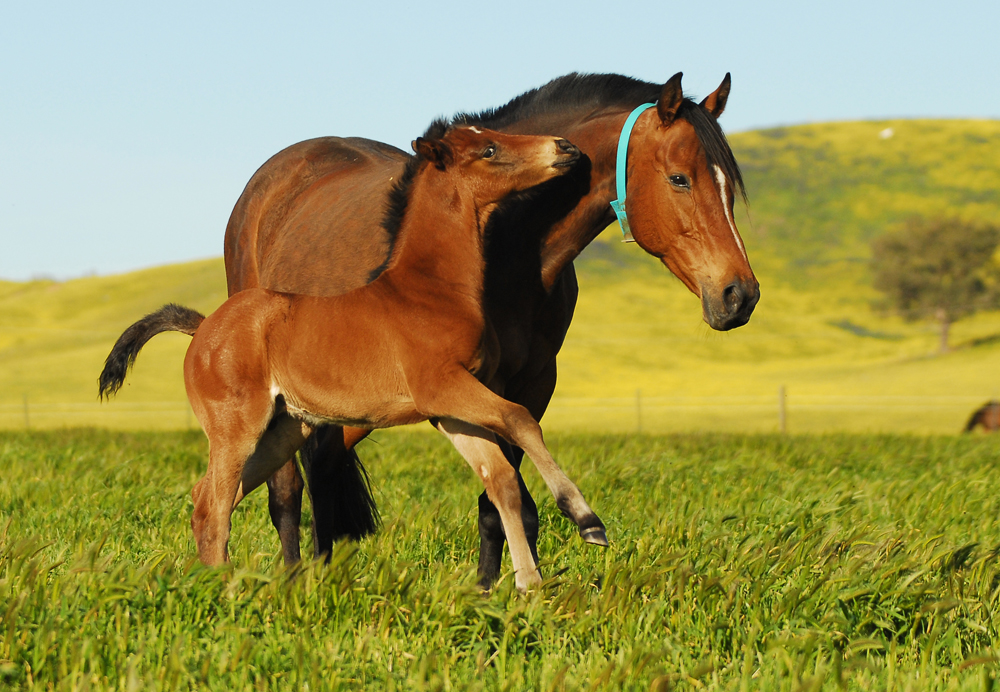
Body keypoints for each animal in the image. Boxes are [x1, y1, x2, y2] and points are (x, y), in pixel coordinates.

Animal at [101, 123, 604, 588]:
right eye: (489, 150)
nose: (565, 148)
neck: (430, 289)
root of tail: (203, 325)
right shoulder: (443, 387)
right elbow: (522, 419)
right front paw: (587, 521)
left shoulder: (449, 409)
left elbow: (500, 479)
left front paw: (529, 585)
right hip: (236, 428)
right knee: (215, 504)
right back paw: (224, 592)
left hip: (284, 429)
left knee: (209, 495)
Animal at [223, 73, 760, 588]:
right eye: (679, 179)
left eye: (729, 187)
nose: (740, 295)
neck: (514, 245)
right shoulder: (465, 383)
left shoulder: (533, 384)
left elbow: (503, 498)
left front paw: (493, 589)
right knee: (289, 489)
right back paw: (296, 580)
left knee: (325, 474)